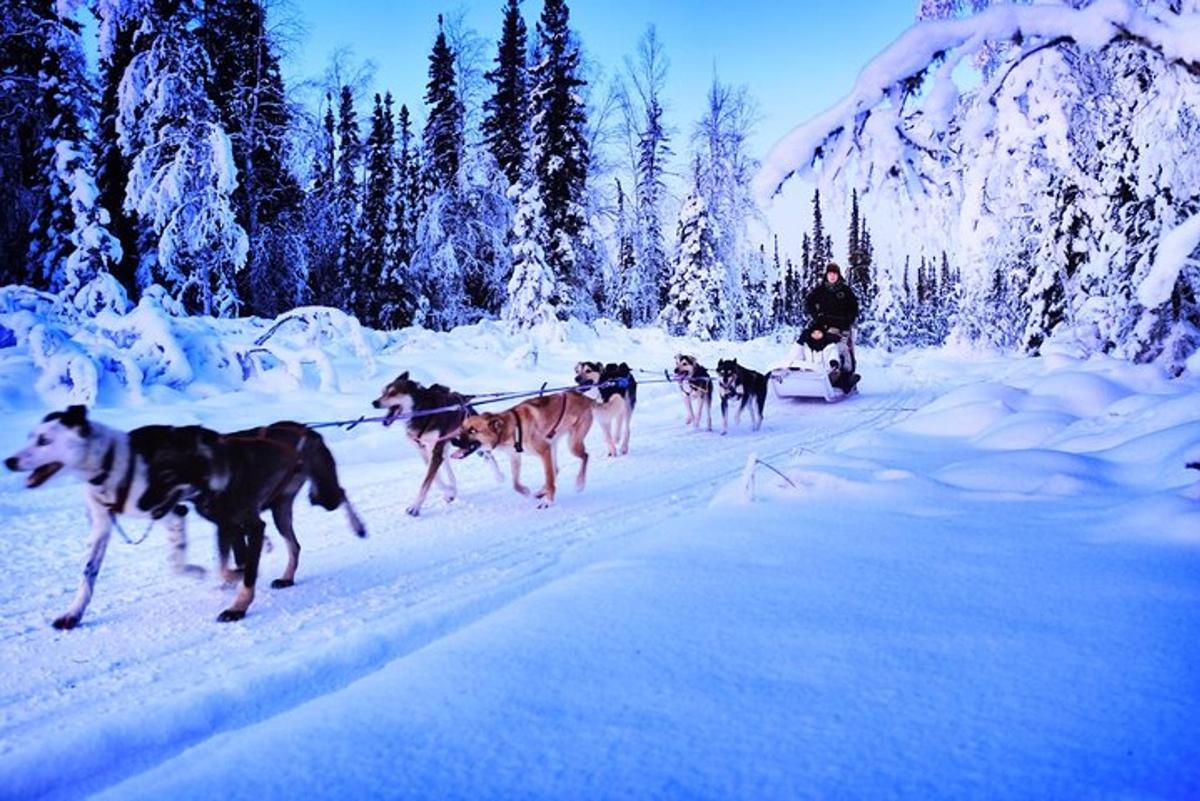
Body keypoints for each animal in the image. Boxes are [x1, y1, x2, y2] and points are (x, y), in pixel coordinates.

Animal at [4, 410, 208, 628]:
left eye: (43, 440)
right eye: (30, 437)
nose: (8, 461)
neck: (108, 463)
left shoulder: (174, 514)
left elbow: (176, 565)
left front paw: (195, 571)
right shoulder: (101, 526)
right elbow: (88, 573)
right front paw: (73, 613)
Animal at [137, 422, 364, 623]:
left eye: (167, 475)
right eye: (147, 473)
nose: (140, 504)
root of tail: (309, 430)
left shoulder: (254, 527)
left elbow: (247, 573)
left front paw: (237, 608)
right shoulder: (226, 527)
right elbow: (226, 566)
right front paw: (234, 577)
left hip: (323, 495)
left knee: (341, 493)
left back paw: (358, 526)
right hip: (281, 510)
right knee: (295, 545)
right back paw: (287, 578)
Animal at [369, 371, 501, 515]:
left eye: (393, 393)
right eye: (383, 392)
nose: (374, 402)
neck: (422, 412)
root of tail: (463, 399)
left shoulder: (435, 451)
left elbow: (427, 481)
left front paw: (415, 507)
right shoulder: (424, 451)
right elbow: (435, 478)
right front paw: (449, 491)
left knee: (487, 453)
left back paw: (499, 476)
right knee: (447, 462)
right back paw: (453, 486)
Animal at [451, 390, 595, 510]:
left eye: (473, 430)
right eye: (461, 428)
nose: (453, 440)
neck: (512, 428)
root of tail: (585, 397)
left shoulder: (544, 451)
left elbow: (549, 480)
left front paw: (548, 501)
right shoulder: (515, 457)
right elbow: (516, 485)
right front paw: (527, 492)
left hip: (572, 445)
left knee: (585, 456)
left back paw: (579, 483)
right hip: (553, 445)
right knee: (556, 469)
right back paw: (541, 492)